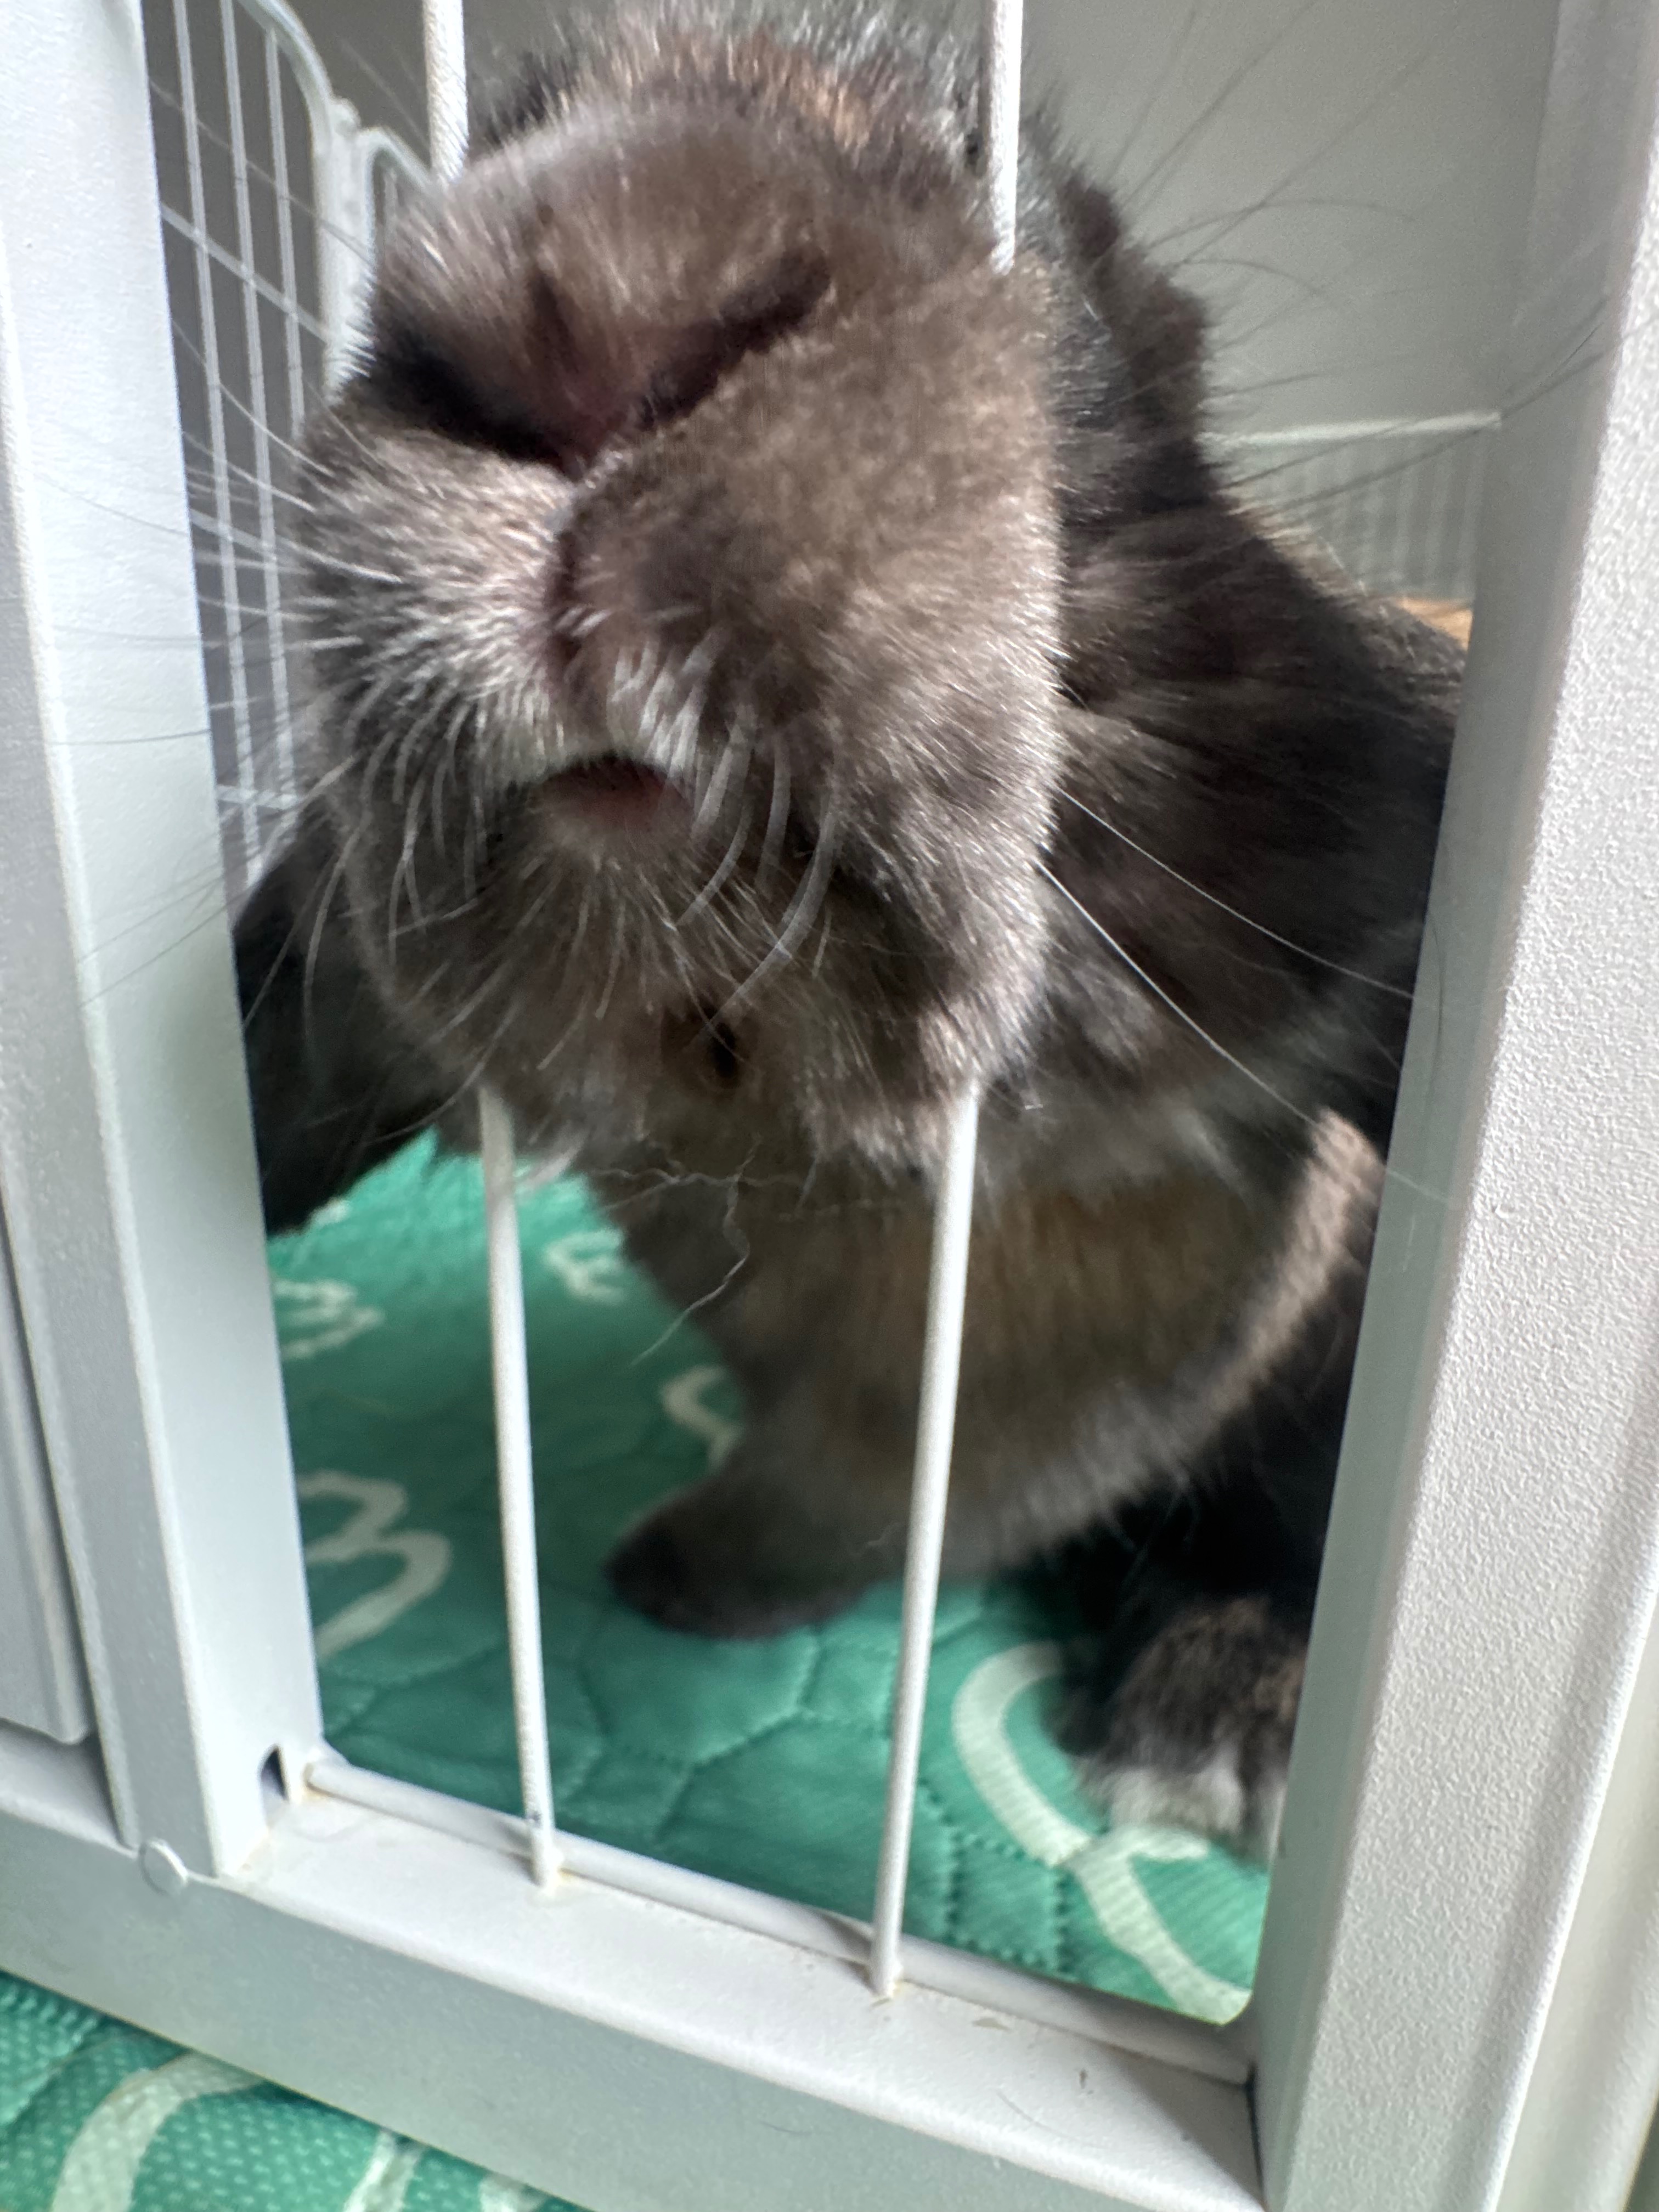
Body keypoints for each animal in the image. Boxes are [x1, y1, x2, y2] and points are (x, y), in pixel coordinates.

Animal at [234, 0, 1459, 1860]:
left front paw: (672, 1579)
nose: (580, 296)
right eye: (493, 140)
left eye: (1087, 277)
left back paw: (1217, 1716)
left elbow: (872, 1508)